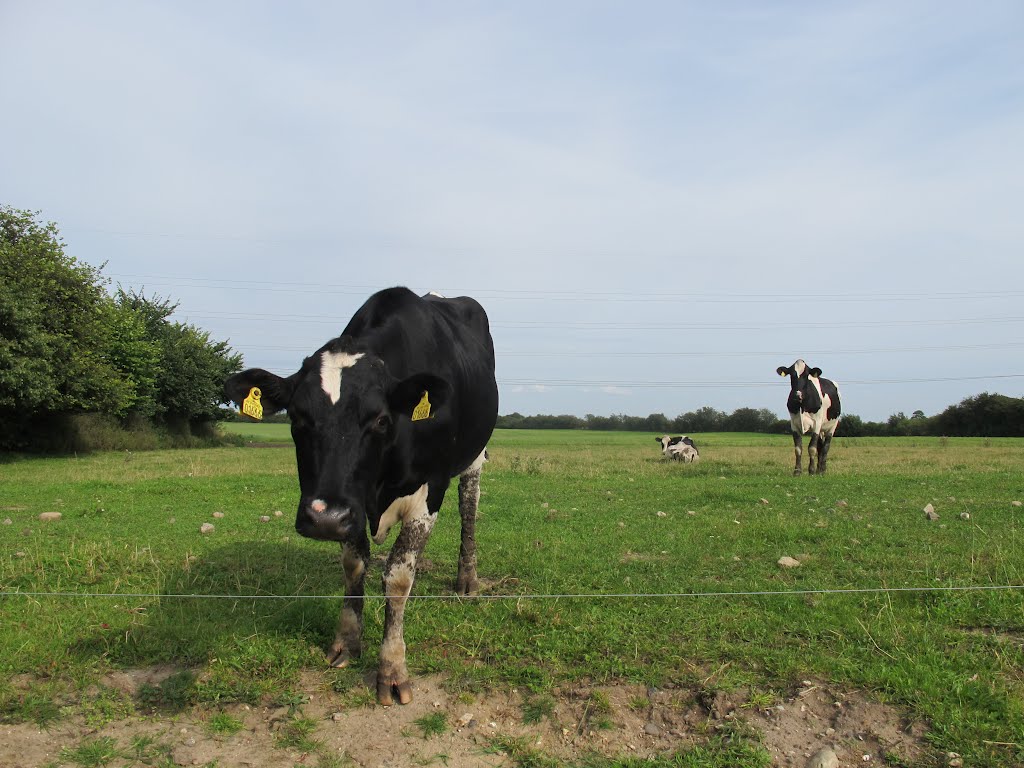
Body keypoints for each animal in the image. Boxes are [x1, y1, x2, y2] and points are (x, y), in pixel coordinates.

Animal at [224, 290, 499, 708]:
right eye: (297, 417)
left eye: (381, 419)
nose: (323, 519)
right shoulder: (348, 505)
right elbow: (354, 566)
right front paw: (348, 642)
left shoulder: (429, 490)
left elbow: (398, 578)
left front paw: (392, 667)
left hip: (475, 455)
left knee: (469, 504)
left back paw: (467, 578)